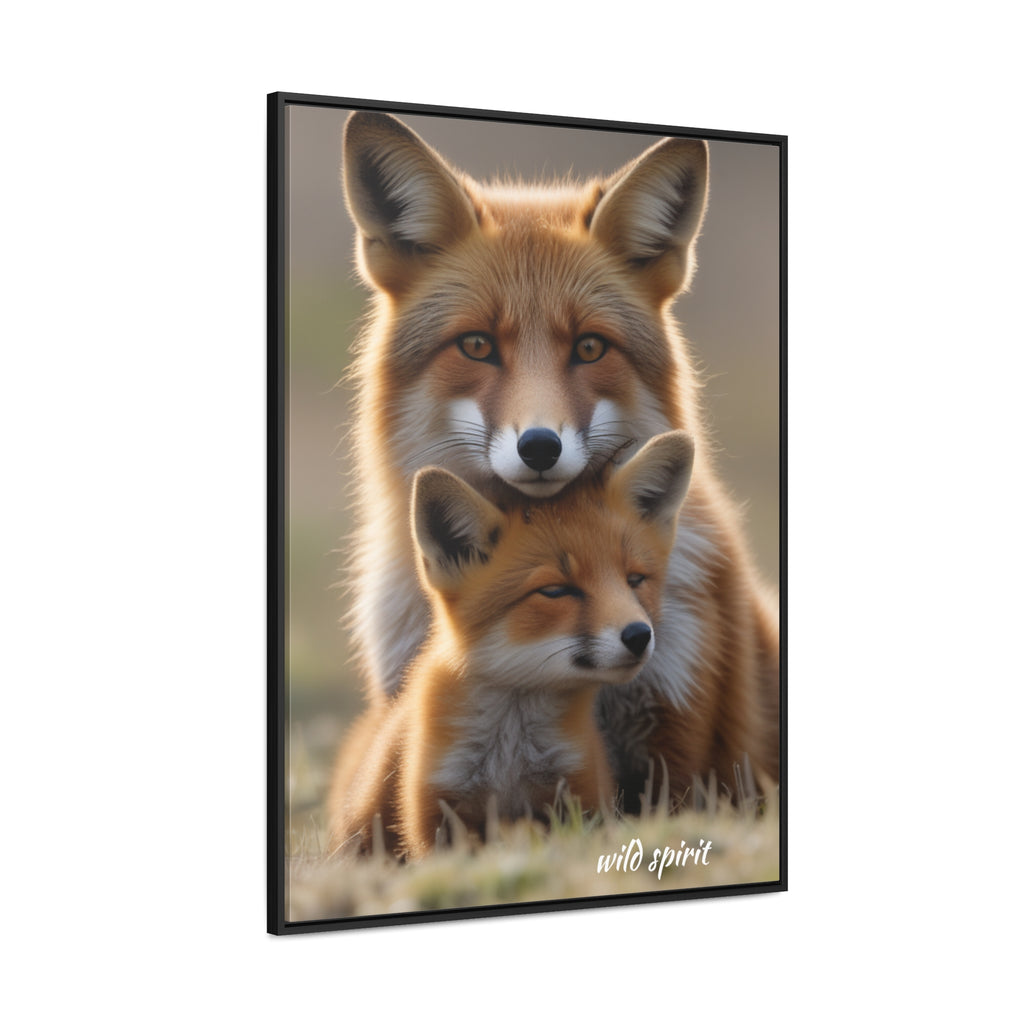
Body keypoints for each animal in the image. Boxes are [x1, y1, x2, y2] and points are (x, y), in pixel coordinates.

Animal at [327, 431, 696, 858]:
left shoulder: (580, 793)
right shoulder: (435, 812)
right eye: (555, 591)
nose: (639, 635)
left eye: (635, 580)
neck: (510, 757)